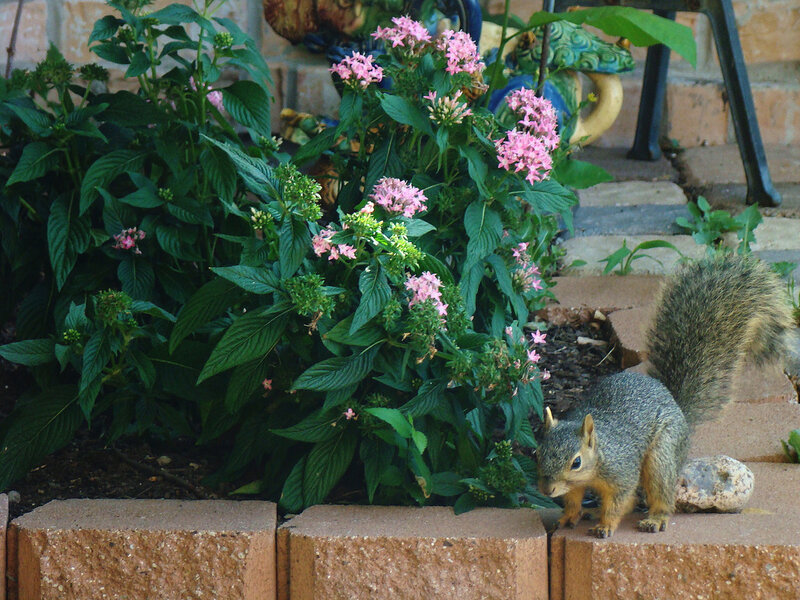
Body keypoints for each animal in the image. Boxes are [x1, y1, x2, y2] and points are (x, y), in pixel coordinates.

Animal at [536, 254, 796, 538]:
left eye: (576, 462)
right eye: (538, 452)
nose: (546, 490)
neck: (600, 455)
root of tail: (676, 406)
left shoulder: (622, 472)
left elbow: (619, 502)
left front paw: (605, 524)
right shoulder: (574, 486)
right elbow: (573, 500)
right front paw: (567, 518)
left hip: (662, 453)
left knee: (660, 490)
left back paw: (656, 518)